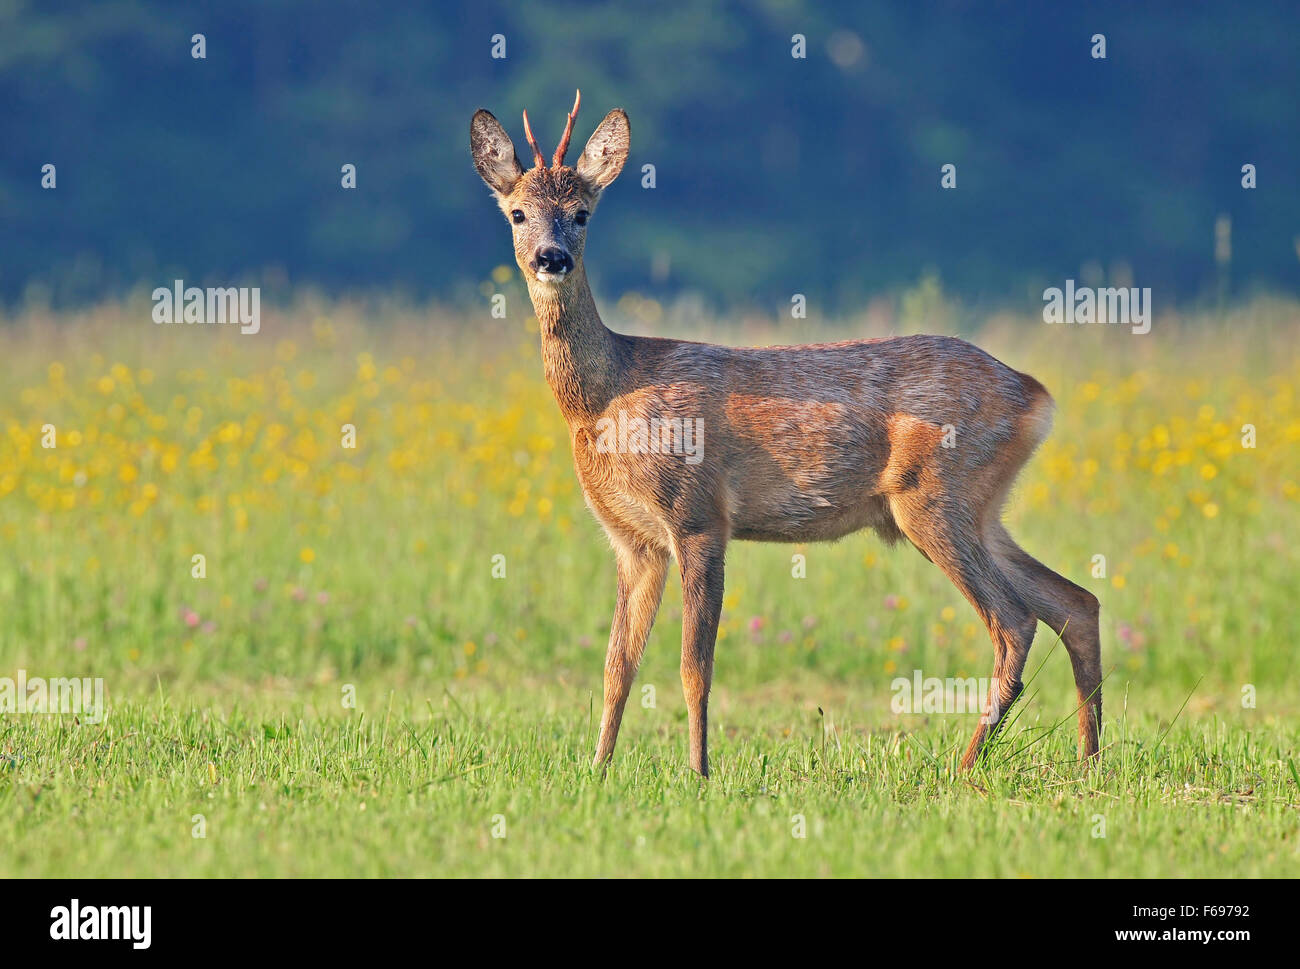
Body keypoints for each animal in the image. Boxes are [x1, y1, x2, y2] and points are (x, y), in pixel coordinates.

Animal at [469, 91, 1102, 777]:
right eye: (518, 213)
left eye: (582, 214)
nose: (550, 258)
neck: (607, 396)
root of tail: (1034, 395)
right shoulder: (633, 541)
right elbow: (617, 666)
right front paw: (598, 769)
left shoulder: (698, 516)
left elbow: (694, 665)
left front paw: (699, 771)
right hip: (983, 508)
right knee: (1076, 602)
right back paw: (1089, 760)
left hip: (934, 495)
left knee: (1014, 621)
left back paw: (965, 765)